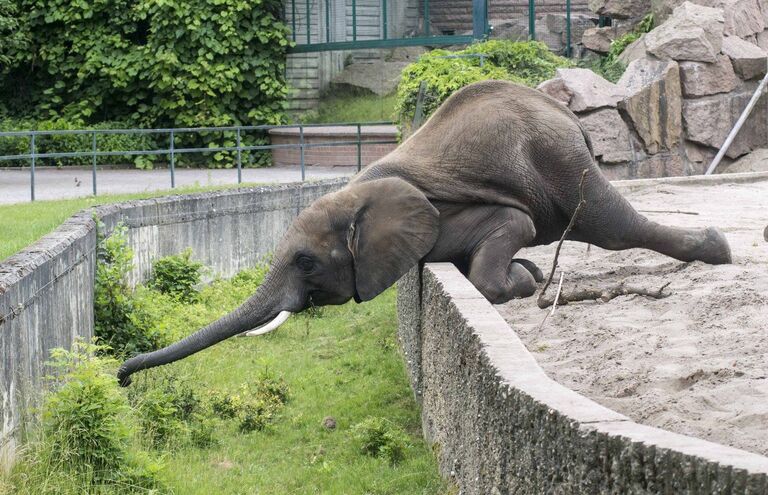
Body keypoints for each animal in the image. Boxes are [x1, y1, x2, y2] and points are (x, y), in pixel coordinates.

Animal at [117, 79, 728, 386]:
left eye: (307, 263)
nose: (122, 378)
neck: (357, 193)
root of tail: (565, 113)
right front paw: (530, 274)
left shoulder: (449, 213)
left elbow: (515, 225)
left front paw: (522, 284)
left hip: (559, 159)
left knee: (610, 224)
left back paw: (716, 251)